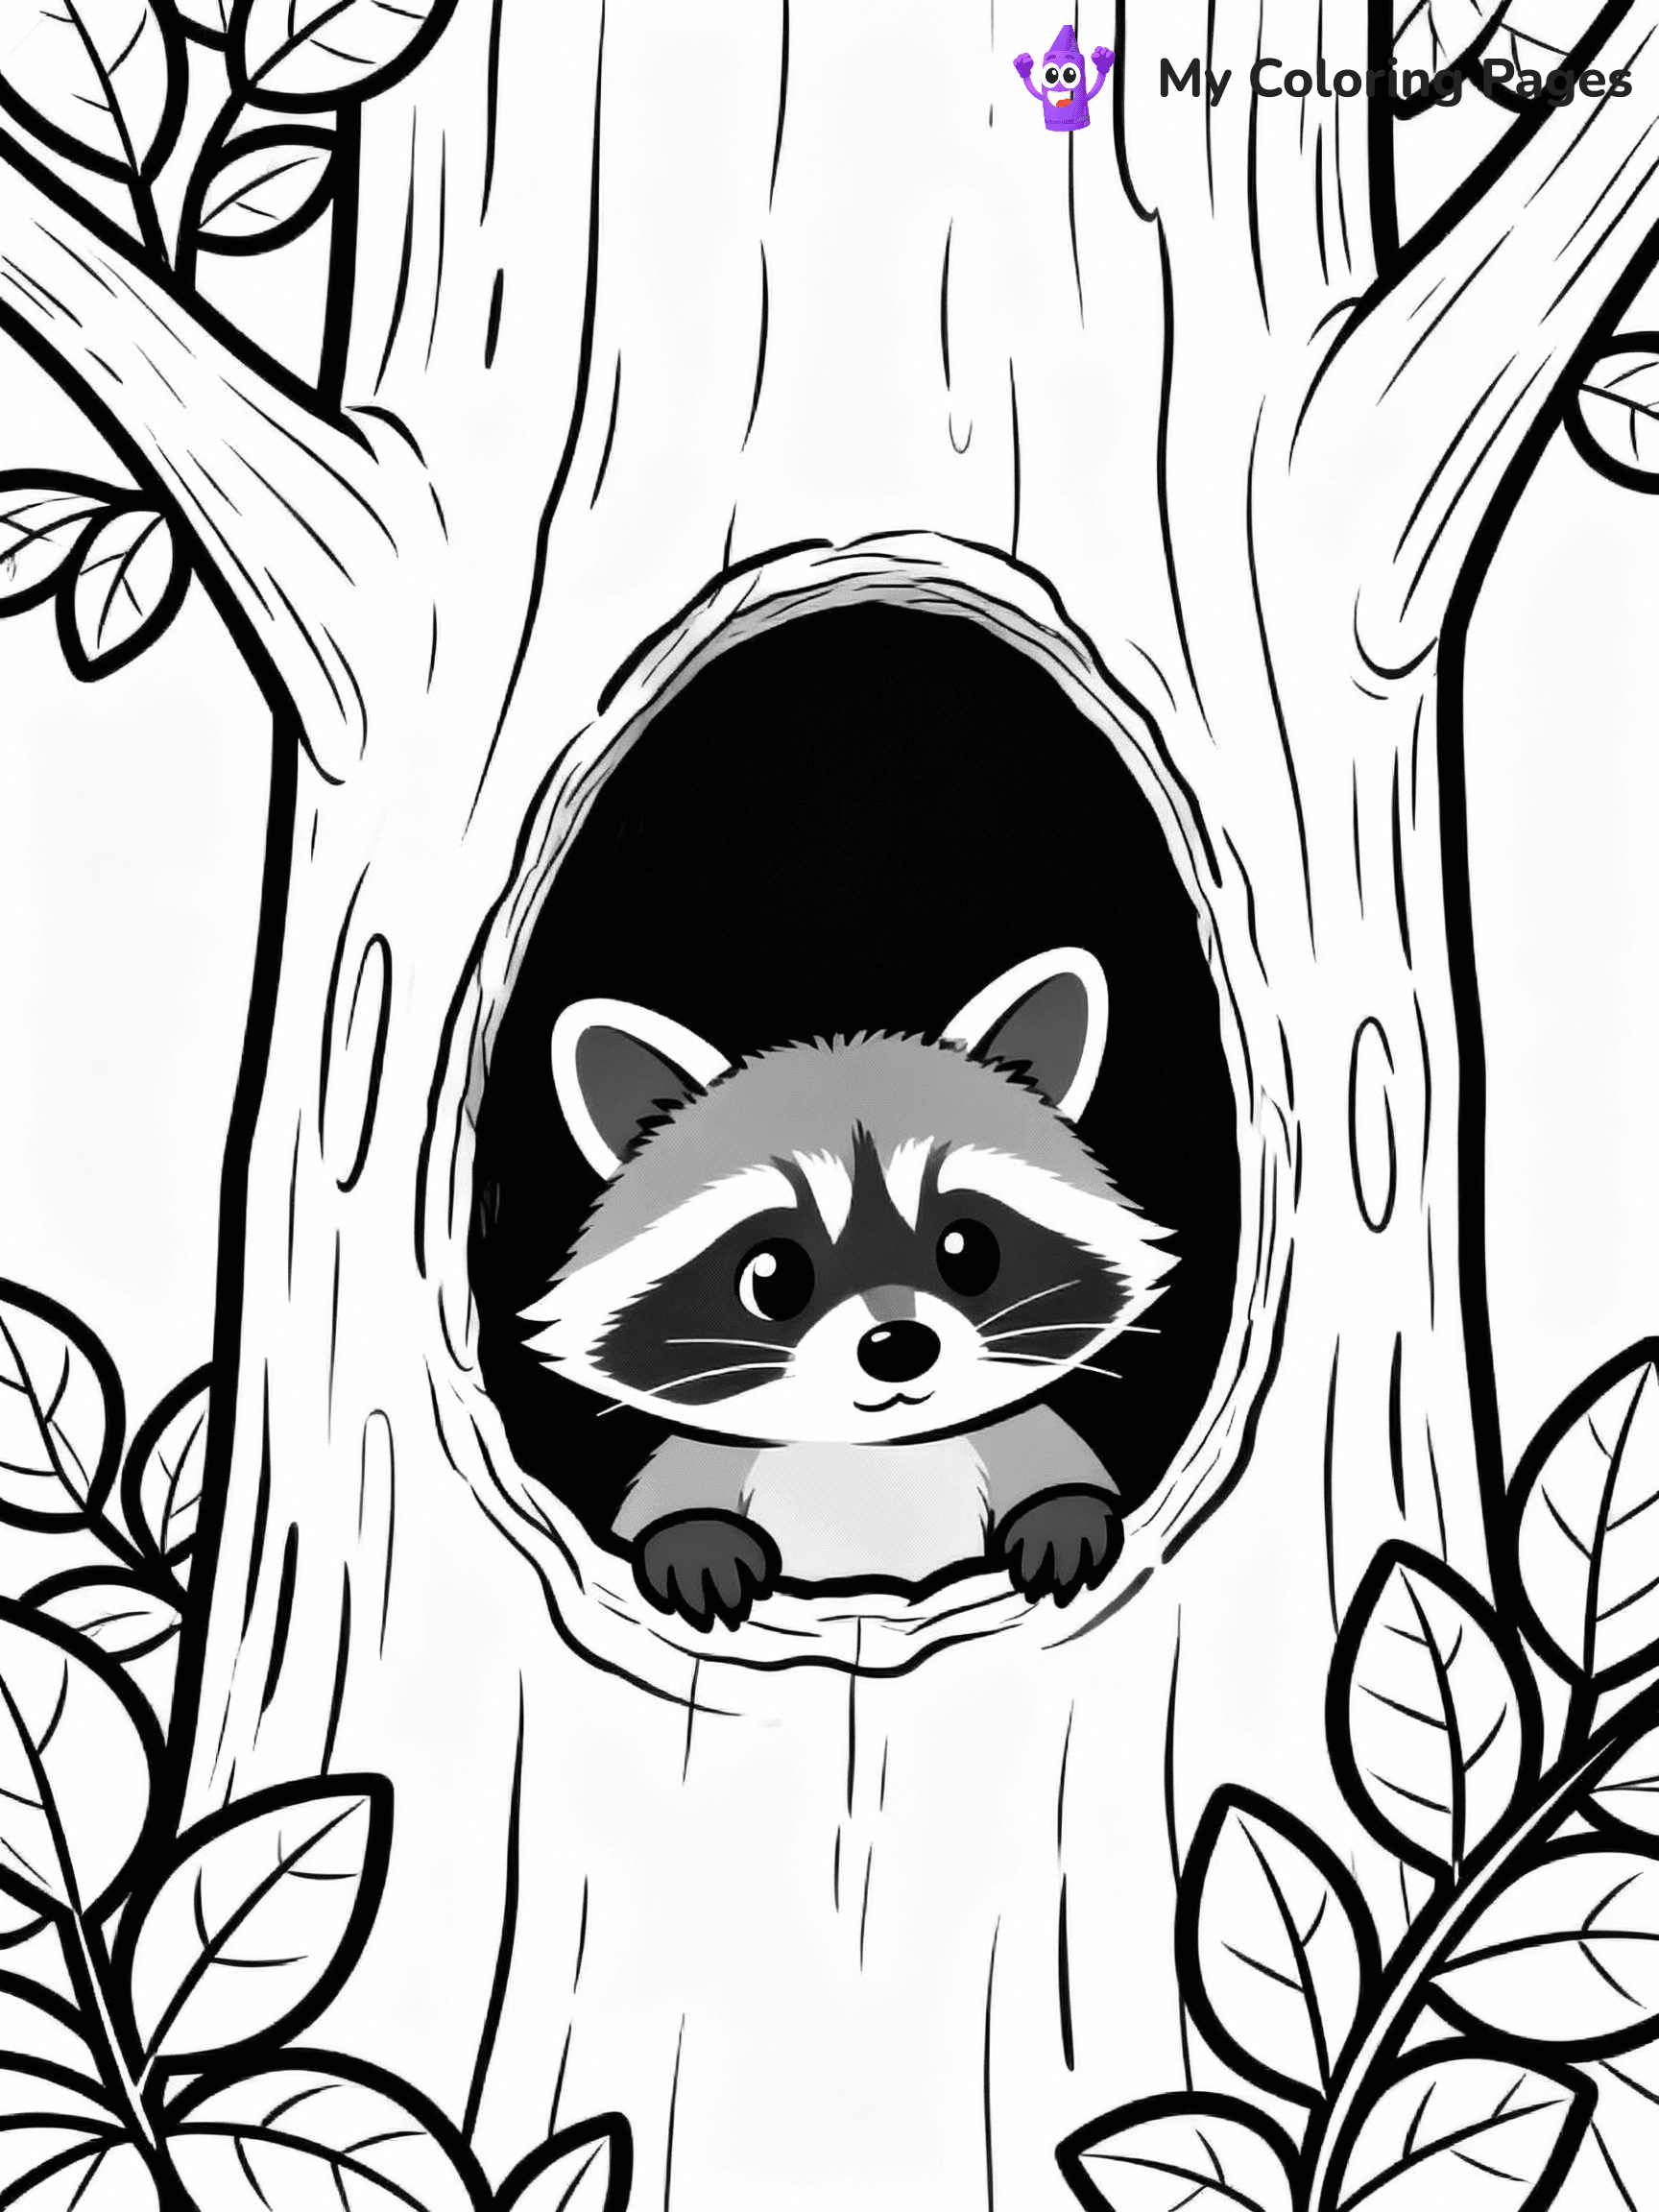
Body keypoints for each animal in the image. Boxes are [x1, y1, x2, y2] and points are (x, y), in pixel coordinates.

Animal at [522, 949, 1173, 1629]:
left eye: (969, 1250)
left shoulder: (1009, 1428)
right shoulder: (710, 1450)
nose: (900, 1346)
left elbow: (1059, 1470)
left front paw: (1063, 1515)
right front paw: (695, 1540)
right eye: (773, 1277)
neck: (868, 1451)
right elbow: (663, 1506)